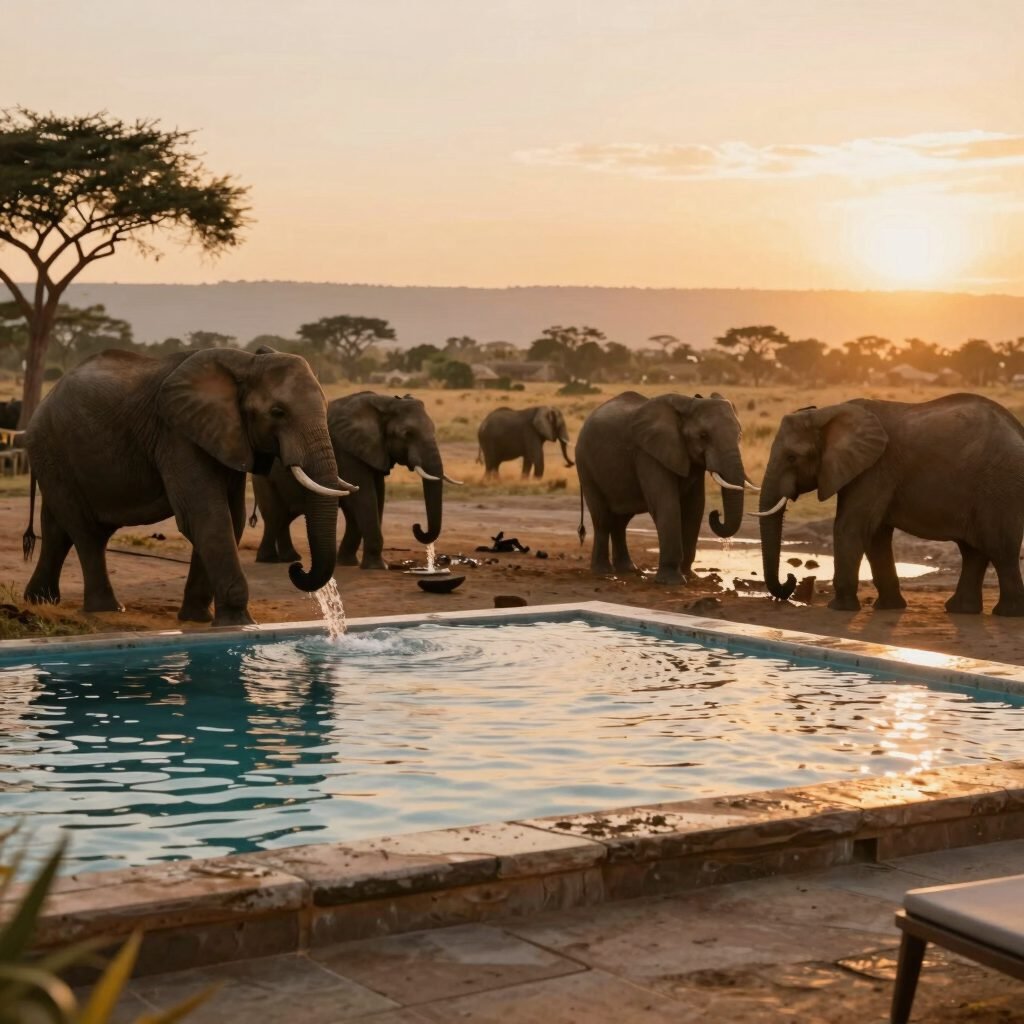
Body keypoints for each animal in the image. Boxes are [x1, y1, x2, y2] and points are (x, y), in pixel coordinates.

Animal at [23, 347, 350, 626]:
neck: (247, 362)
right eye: (278, 412)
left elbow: (231, 519)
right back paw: (107, 609)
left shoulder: (227, 437)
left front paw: (198, 619)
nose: (296, 568)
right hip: (52, 449)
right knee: (86, 532)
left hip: (55, 458)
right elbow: (206, 516)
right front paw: (239, 623)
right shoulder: (176, 436)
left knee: (57, 528)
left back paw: (39, 601)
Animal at [253, 391, 458, 570]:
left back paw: (290, 558)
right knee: (275, 515)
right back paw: (269, 559)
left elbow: (375, 498)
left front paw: (347, 562)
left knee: (285, 516)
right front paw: (377, 567)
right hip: (263, 475)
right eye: (407, 434)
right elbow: (365, 497)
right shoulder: (347, 451)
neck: (385, 403)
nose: (417, 527)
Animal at [575, 391, 753, 584]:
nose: (717, 513)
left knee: (621, 521)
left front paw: (689, 575)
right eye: (703, 435)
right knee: (603, 519)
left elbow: (695, 507)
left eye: (739, 435)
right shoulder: (648, 453)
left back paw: (628, 570)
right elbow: (666, 504)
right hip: (585, 466)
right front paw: (672, 582)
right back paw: (603, 572)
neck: (687, 404)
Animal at [754, 394, 1024, 615]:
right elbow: (876, 535)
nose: (790, 578)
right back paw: (961, 610)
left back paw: (1007, 613)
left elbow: (850, 527)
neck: (827, 413)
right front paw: (888, 607)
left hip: (999, 485)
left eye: (792, 457)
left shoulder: (875, 469)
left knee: (1000, 550)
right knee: (973, 551)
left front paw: (839, 608)